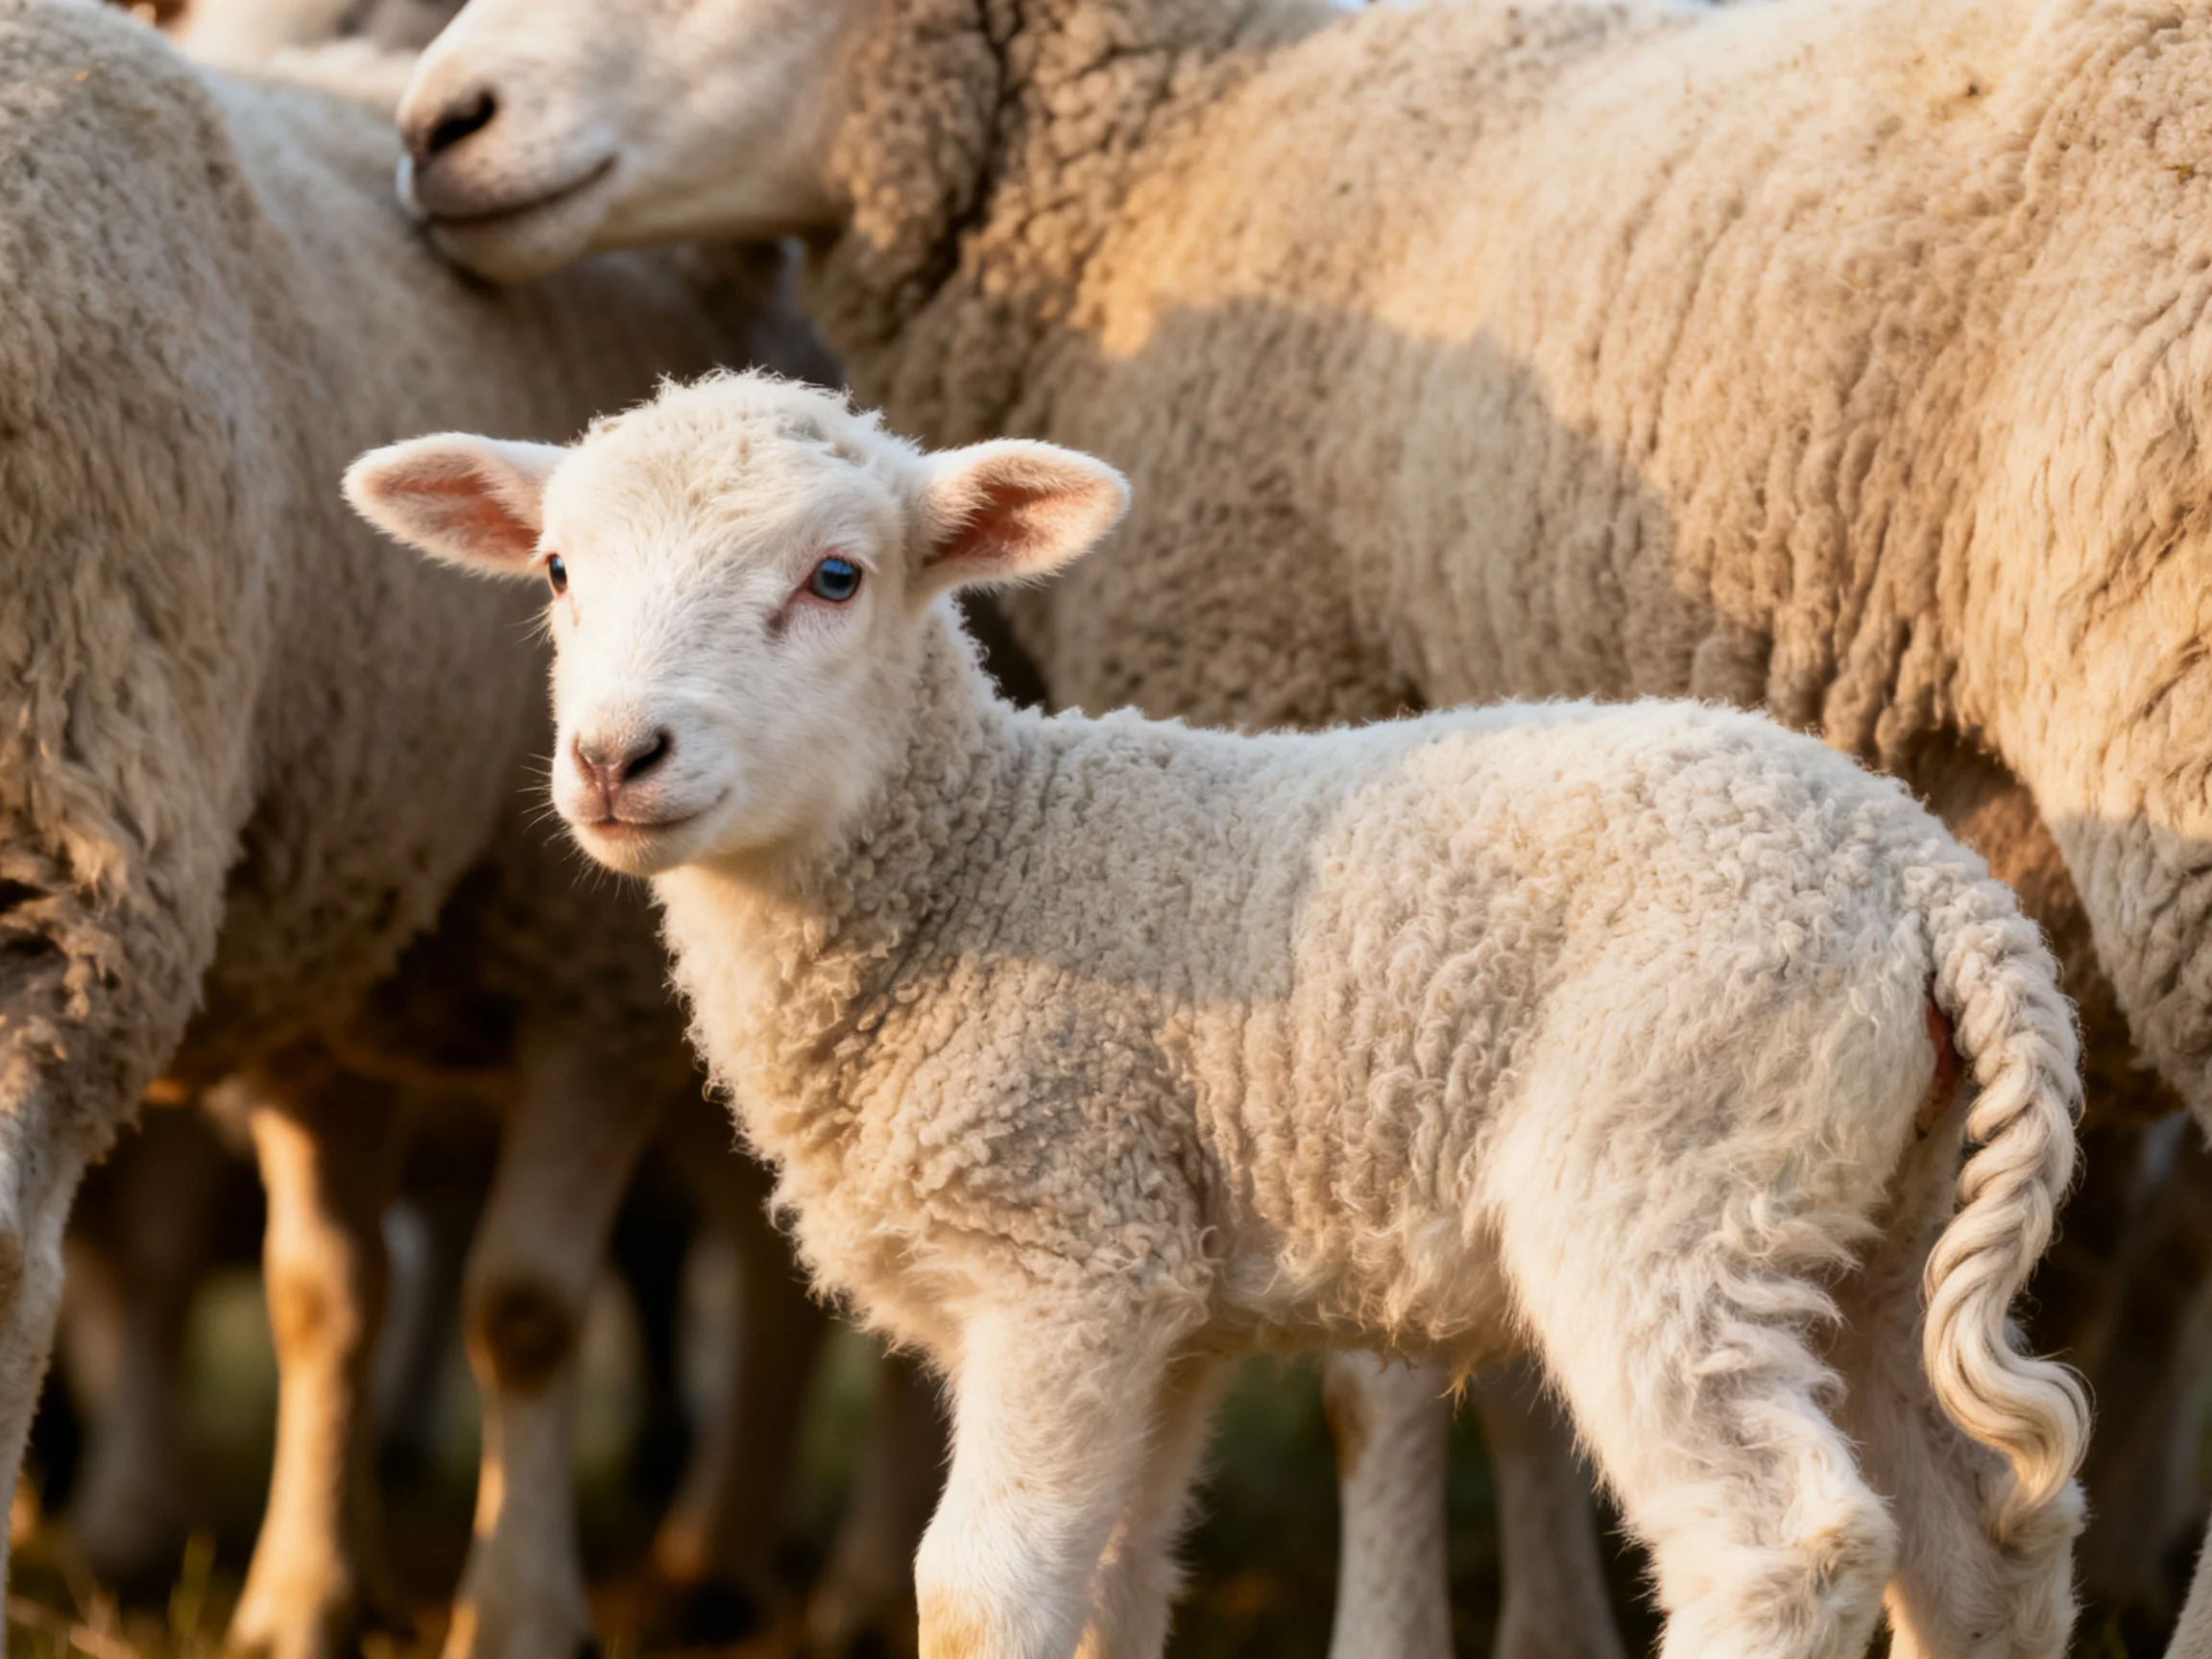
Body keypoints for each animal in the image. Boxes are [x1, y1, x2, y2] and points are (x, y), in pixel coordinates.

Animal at [348, 370, 2092, 1659]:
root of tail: (1920, 873)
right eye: (557, 573)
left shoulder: (1064, 1247)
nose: (613, 758)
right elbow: (1112, 1591)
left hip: (1670, 1170)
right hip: (1862, 1213)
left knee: (1786, 1547)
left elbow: (979, 1593)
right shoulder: (1160, 1296)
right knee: (1976, 1548)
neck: (982, 859)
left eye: (834, 576)